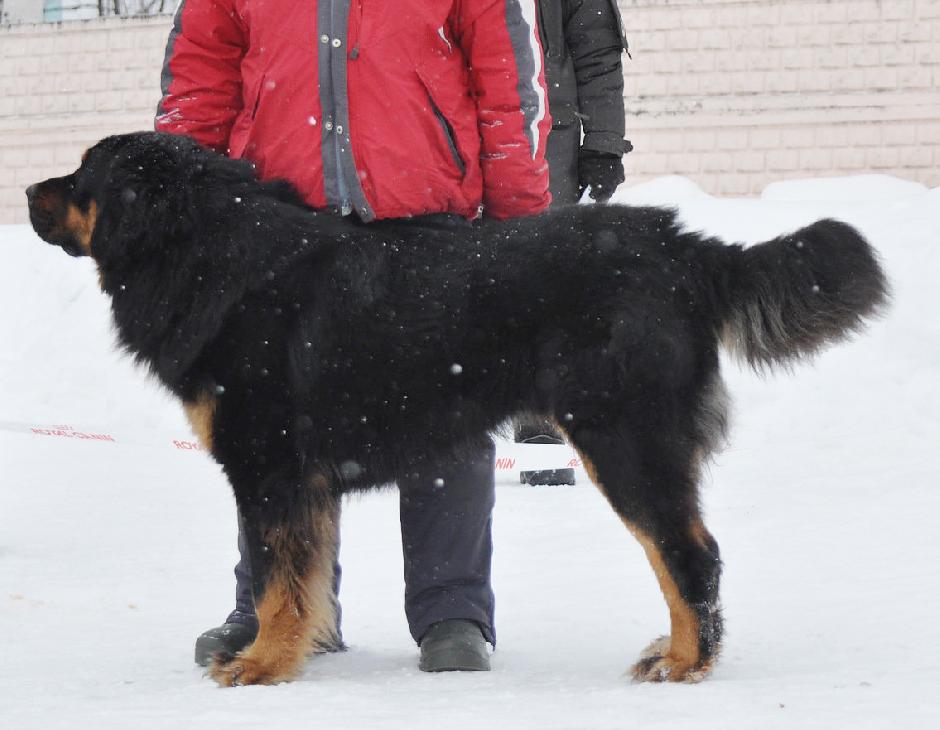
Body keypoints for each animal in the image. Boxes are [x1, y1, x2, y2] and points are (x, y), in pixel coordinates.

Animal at [26, 131, 888, 686]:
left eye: (81, 175)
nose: (30, 188)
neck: (208, 251)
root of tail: (682, 247)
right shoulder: (303, 483)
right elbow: (306, 582)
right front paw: (296, 652)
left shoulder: (270, 470)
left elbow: (276, 581)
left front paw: (262, 665)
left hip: (623, 438)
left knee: (690, 553)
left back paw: (685, 661)